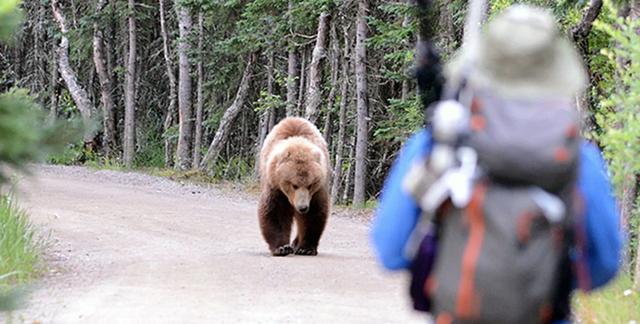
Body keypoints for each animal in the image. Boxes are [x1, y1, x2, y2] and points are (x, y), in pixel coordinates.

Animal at [258, 117, 330, 256]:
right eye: (294, 185)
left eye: (310, 185)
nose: (302, 207)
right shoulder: (275, 186)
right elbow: (276, 212)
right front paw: (281, 247)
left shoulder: (316, 192)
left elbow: (312, 214)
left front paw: (306, 248)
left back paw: (296, 243)